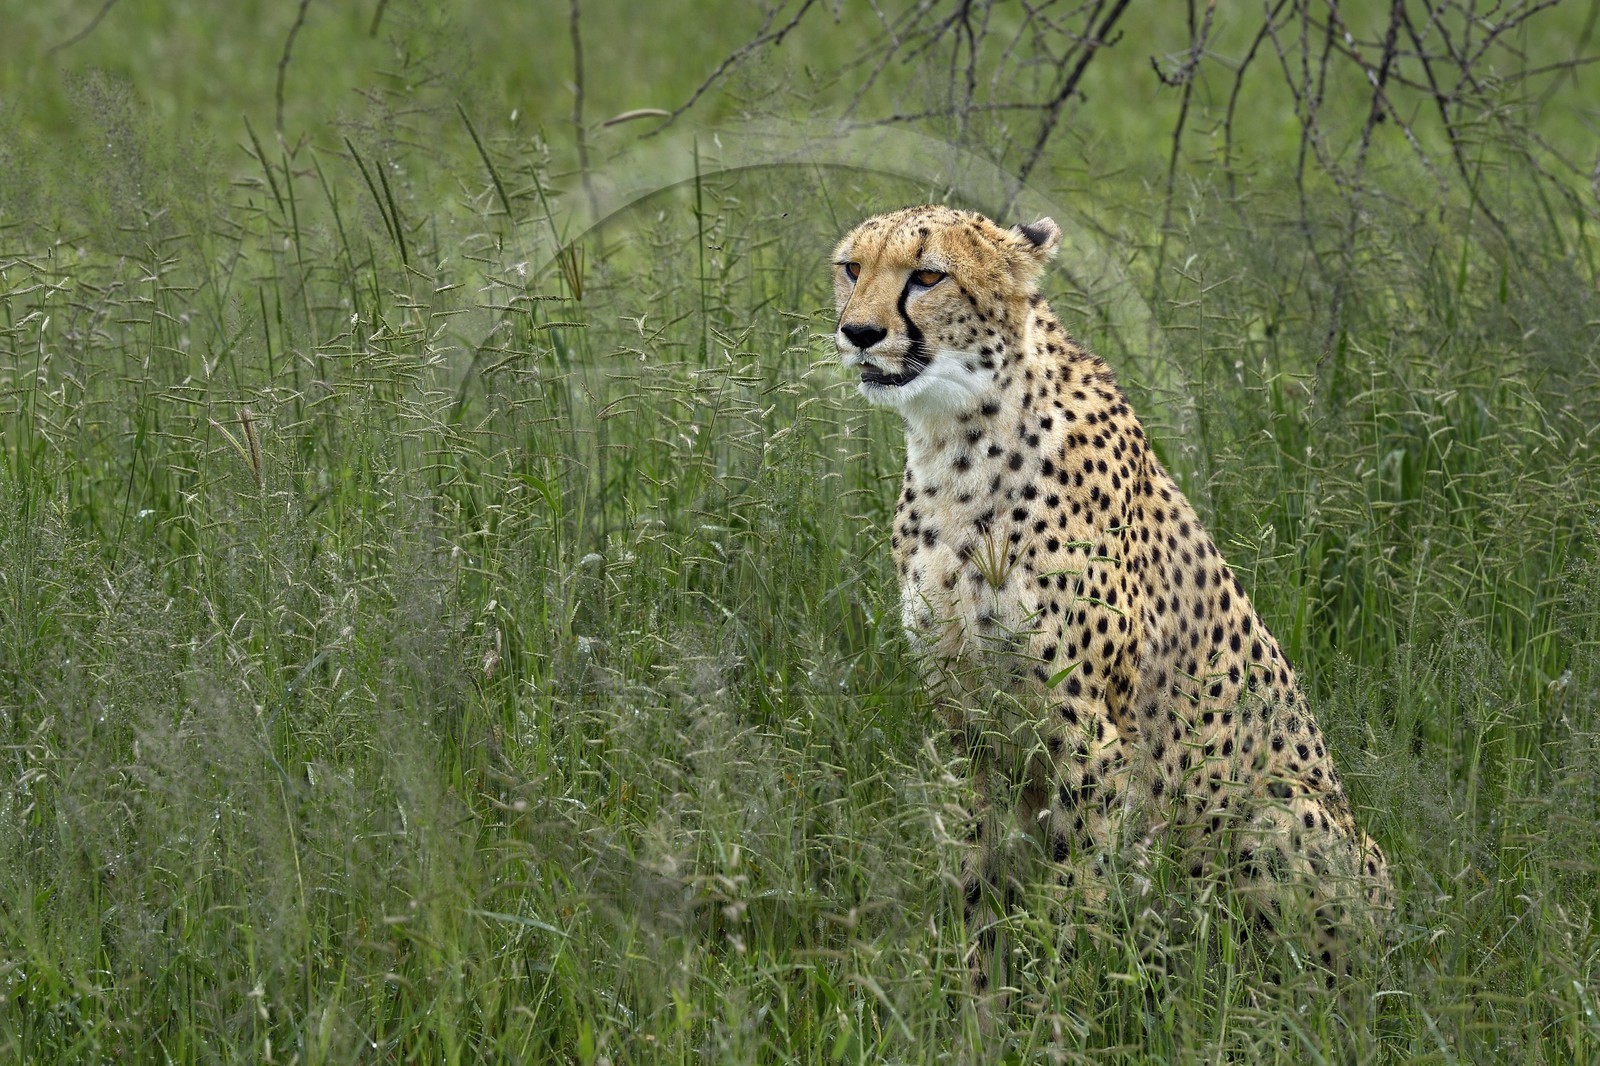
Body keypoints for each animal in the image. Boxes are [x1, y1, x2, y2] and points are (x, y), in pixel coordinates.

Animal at [830, 204, 1390, 1005]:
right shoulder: (968, 722)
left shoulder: (1090, 730)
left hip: (1280, 812)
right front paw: (979, 1005)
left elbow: (1084, 889)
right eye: (852, 268)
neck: (956, 440)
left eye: (928, 276)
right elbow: (979, 882)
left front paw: (1066, 1004)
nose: (858, 332)